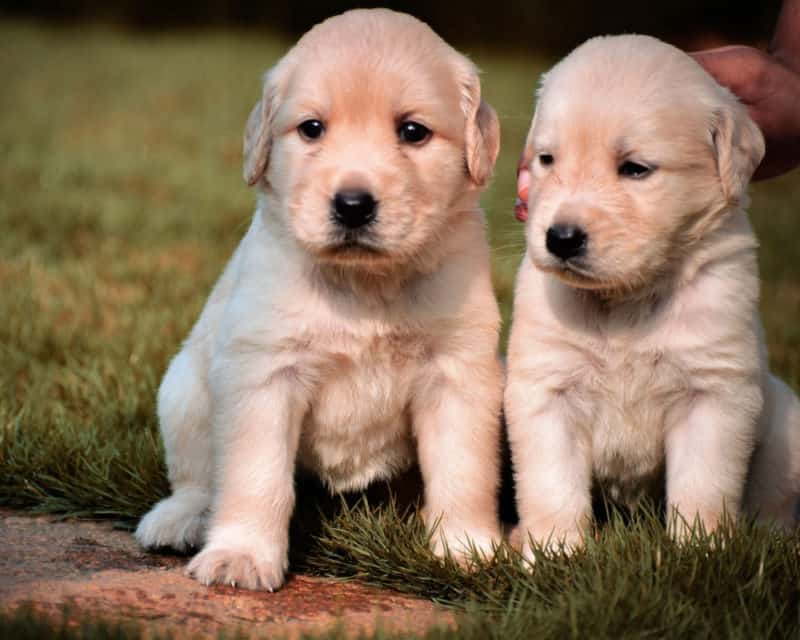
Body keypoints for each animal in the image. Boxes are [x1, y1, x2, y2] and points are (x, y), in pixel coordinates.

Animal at [135, 10, 504, 592]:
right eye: (311, 129)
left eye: (413, 131)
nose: (352, 205)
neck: (364, 284)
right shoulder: (264, 372)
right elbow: (256, 475)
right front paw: (241, 555)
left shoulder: (459, 372)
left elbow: (463, 470)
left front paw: (466, 549)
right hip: (183, 391)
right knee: (196, 478)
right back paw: (179, 519)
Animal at [506, 33, 800, 560]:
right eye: (546, 159)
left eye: (635, 169)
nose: (560, 238)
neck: (626, 299)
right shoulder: (546, 391)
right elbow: (551, 485)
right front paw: (553, 554)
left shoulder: (713, 395)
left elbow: (702, 487)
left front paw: (701, 554)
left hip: (787, 421)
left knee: (775, 499)